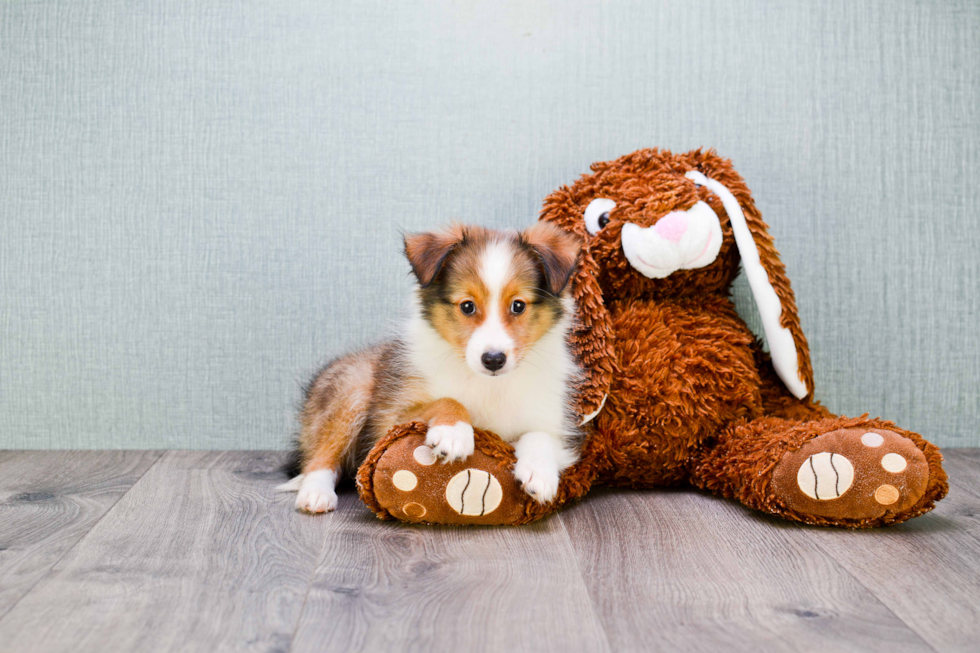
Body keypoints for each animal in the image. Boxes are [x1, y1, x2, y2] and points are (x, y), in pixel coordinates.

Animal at [278, 222, 580, 512]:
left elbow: (541, 435)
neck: (488, 382)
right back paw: (316, 494)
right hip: (351, 389)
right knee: (320, 456)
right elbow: (447, 400)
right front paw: (453, 432)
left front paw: (539, 472)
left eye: (518, 305)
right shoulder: (390, 421)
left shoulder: (549, 421)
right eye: (467, 306)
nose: (493, 359)